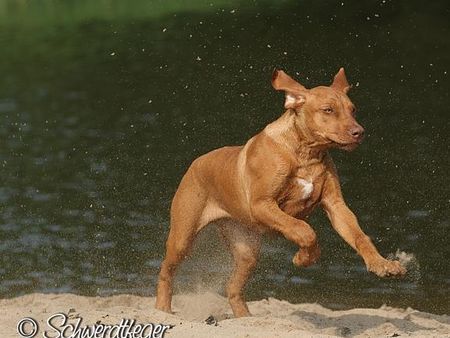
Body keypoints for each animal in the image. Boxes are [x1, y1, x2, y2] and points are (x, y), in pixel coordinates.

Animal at [156, 68, 408, 316]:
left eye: (352, 109)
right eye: (328, 110)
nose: (359, 132)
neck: (306, 154)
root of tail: (195, 163)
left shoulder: (336, 205)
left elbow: (359, 236)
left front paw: (382, 264)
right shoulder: (262, 204)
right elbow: (304, 230)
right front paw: (304, 257)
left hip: (246, 249)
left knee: (232, 287)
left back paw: (245, 317)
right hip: (183, 236)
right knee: (166, 272)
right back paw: (163, 308)